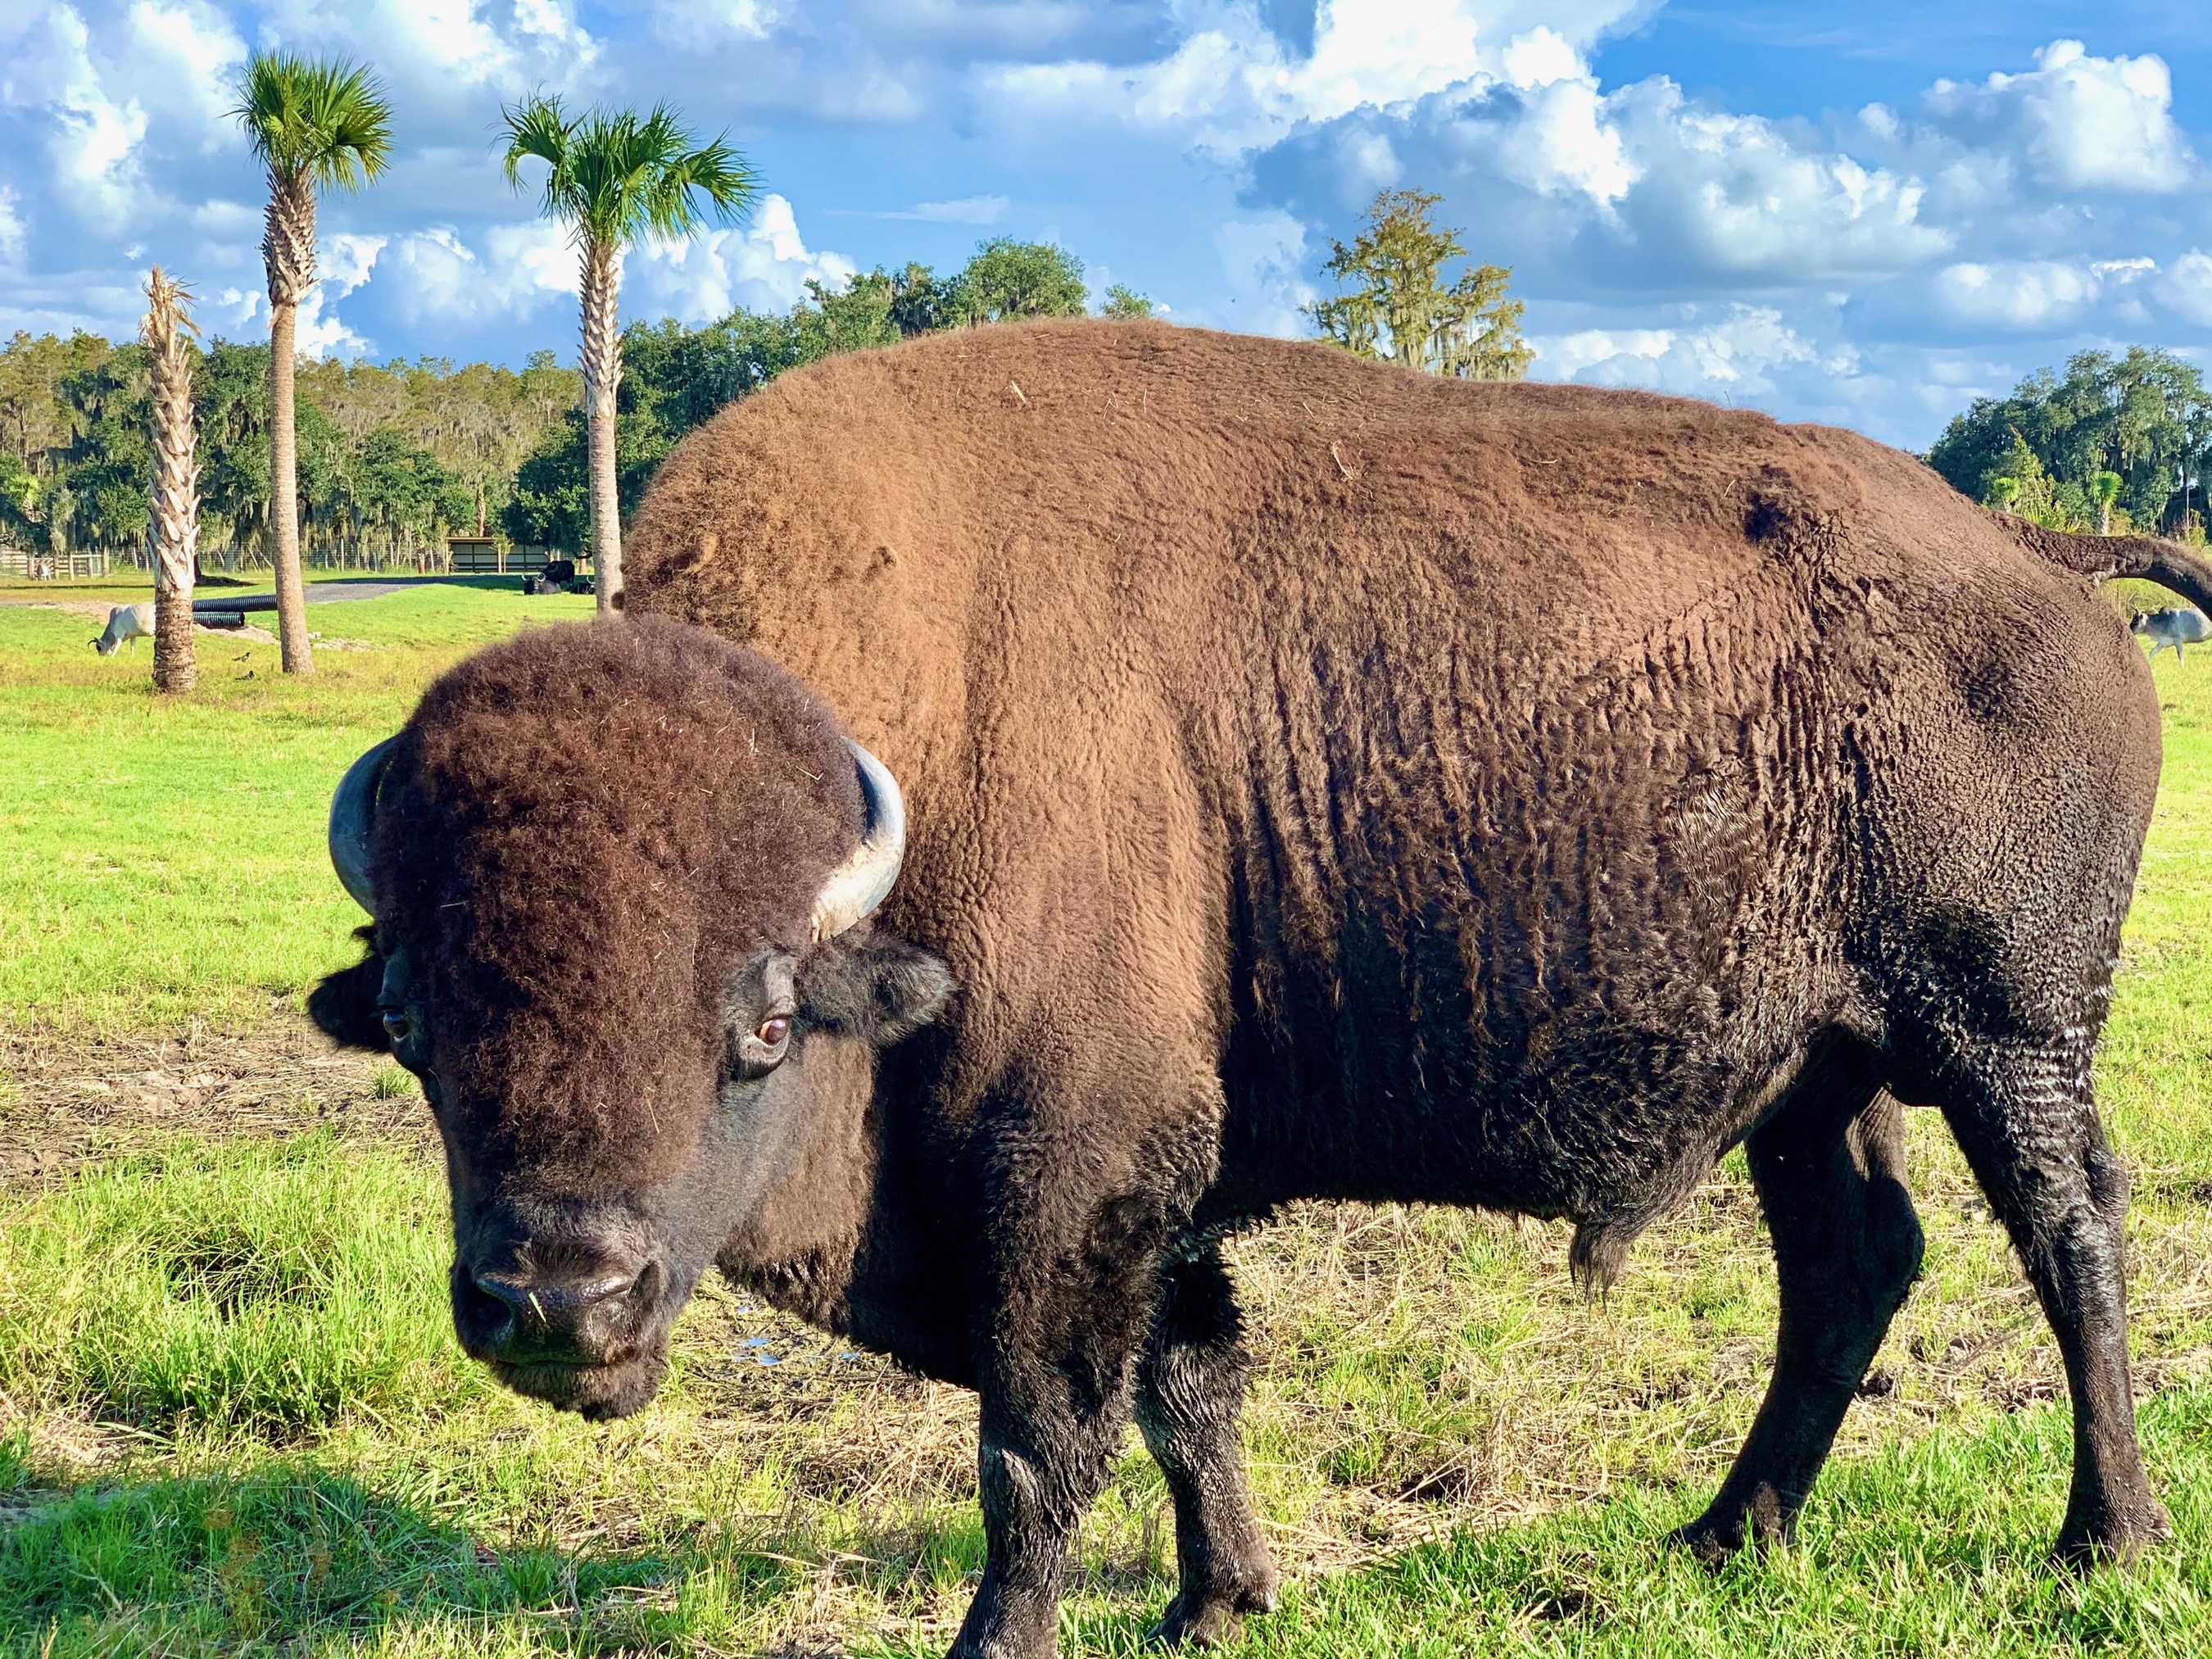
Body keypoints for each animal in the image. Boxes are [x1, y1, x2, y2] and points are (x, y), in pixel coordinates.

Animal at [311, 318, 2194, 1654]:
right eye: (408, 1026)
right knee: (1856, 1260)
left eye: (762, 1021)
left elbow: (1041, 1440)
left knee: (2069, 1227)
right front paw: (1218, 1599)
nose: (559, 1302)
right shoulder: (1152, 1185)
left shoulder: (1068, 1172)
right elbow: (1186, 1381)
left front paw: (1010, 1640)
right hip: (1819, 1072)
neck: (918, 734)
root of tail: (2038, 552)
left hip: (2005, 1029)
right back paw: (1730, 1533)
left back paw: (2103, 1542)